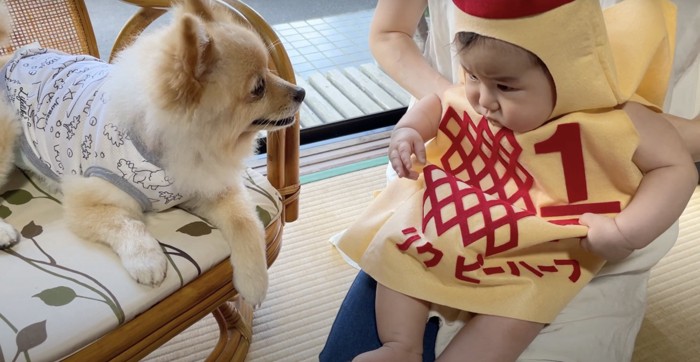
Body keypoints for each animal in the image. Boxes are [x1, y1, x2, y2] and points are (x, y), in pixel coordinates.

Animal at [0, 0, 306, 306]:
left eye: (269, 71)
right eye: (258, 88)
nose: (301, 92)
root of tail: (8, 59)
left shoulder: (208, 186)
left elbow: (244, 222)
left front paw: (254, 281)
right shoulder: (86, 201)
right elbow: (126, 224)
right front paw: (147, 260)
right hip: (7, 134)